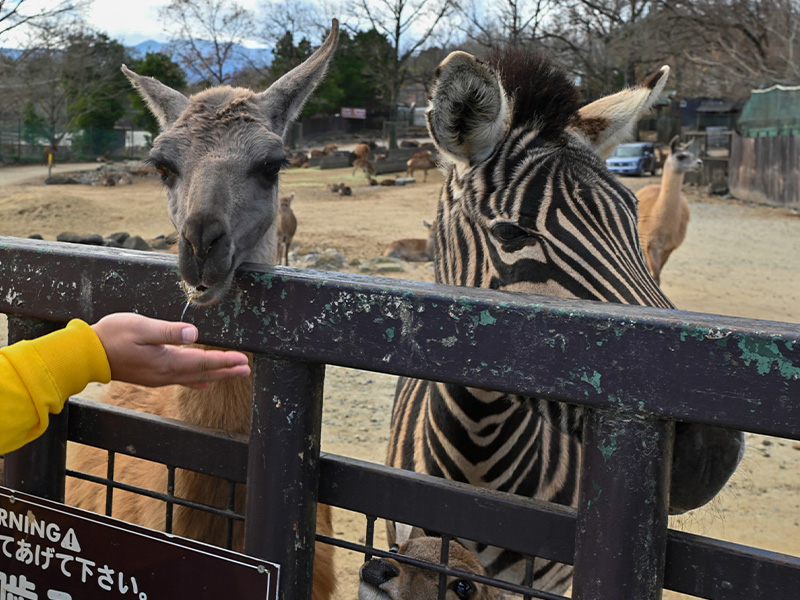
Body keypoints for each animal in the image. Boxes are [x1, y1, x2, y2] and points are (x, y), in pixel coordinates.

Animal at [636, 137, 700, 286]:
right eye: (681, 156)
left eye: (693, 154)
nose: (700, 163)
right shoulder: (650, 244)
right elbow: (655, 276)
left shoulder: (669, 247)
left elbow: (657, 277)